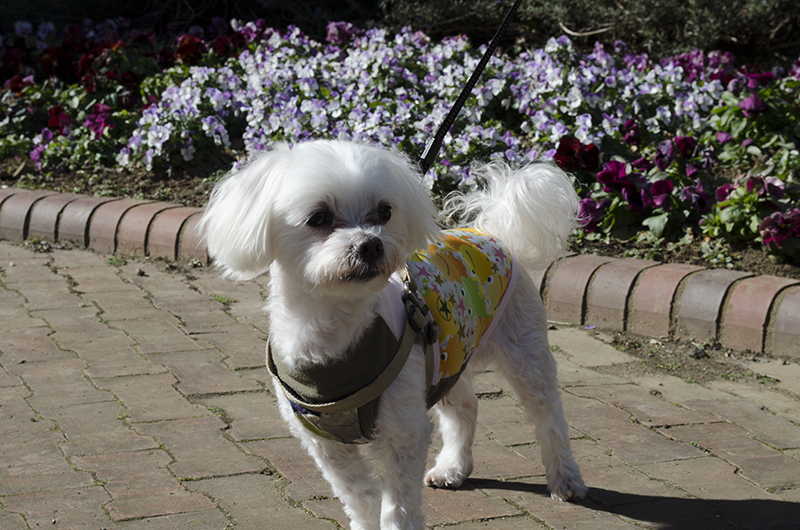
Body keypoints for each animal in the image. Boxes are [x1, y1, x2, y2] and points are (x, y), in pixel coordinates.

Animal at [199, 139, 587, 530]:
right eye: (319, 218)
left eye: (384, 212)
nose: (370, 244)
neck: (332, 331)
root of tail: (491, 232)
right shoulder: (322, 440)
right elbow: (357, 491)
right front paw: (364, 520)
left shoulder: (404, 428)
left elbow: (398, 502)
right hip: (448, 357)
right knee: (464, 409)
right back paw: (452, 467)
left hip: (524, 351)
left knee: (549, 416)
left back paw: (566, 478)